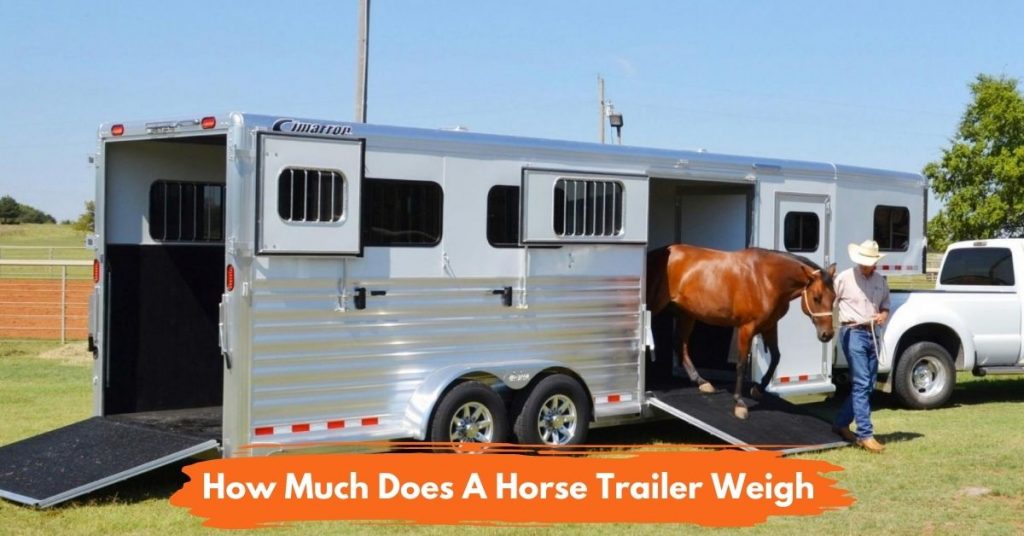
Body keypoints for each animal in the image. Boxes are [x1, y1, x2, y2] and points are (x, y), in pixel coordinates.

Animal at [646, 244, 837, 419]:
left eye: (834, 297)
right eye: (816, 298)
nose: (827, 334)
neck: (765, 279)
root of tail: (655, 254)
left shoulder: (769, 325)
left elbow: (776, 356)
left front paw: (758, 389)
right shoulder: (746, 328)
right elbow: (741, 364)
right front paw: (739, 403)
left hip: (687, 314)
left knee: (680, 344)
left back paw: (701, 381)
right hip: (656, 307)